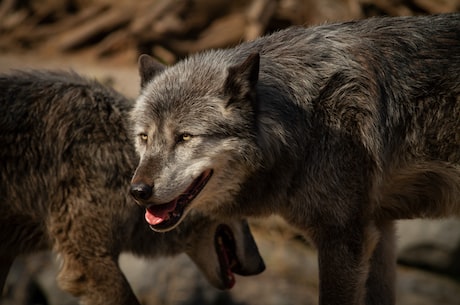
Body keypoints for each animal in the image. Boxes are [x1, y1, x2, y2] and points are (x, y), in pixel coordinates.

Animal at [128, 13, 460, 304]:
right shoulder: (379, 230)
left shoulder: (343, 237)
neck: (305, 119)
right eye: (144, 137)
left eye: (184, 137)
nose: (137, 192)